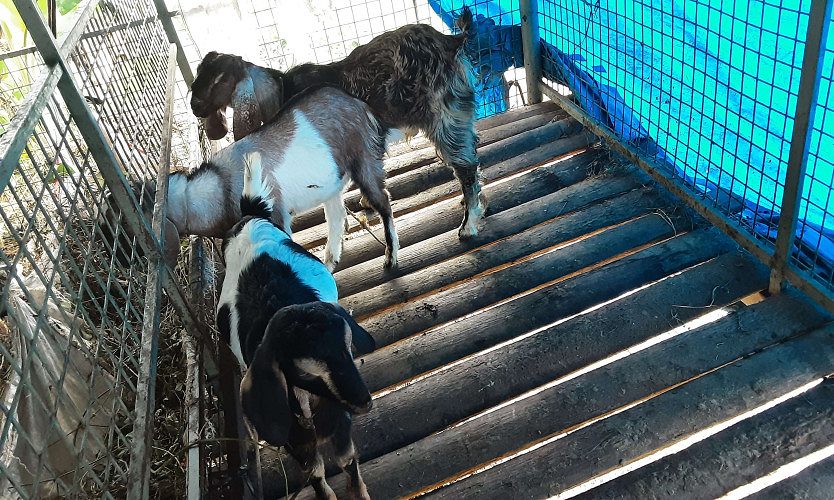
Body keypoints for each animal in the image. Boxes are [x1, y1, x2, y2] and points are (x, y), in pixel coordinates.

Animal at [119, 86, 399, 270]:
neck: (219, 185)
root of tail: (361, 106)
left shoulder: (276, 214)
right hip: (331, 182)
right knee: (337, 215)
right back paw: (330, 260)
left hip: (364, 161)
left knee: (383, 202)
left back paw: (390, 258)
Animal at [190, 7, 485, 239]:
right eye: (197, 78)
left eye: (219, 81)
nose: (194, 107)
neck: (280, 90)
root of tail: (451, 41)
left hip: (444, 117)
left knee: (466, 167)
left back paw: (468, 225)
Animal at [219, 152, 375, 499]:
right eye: (304, 373)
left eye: (349, 348)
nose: (364, 402)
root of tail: (251, 217)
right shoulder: (295, 437)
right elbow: (314, 472)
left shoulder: (339, 421)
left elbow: (347, 461)